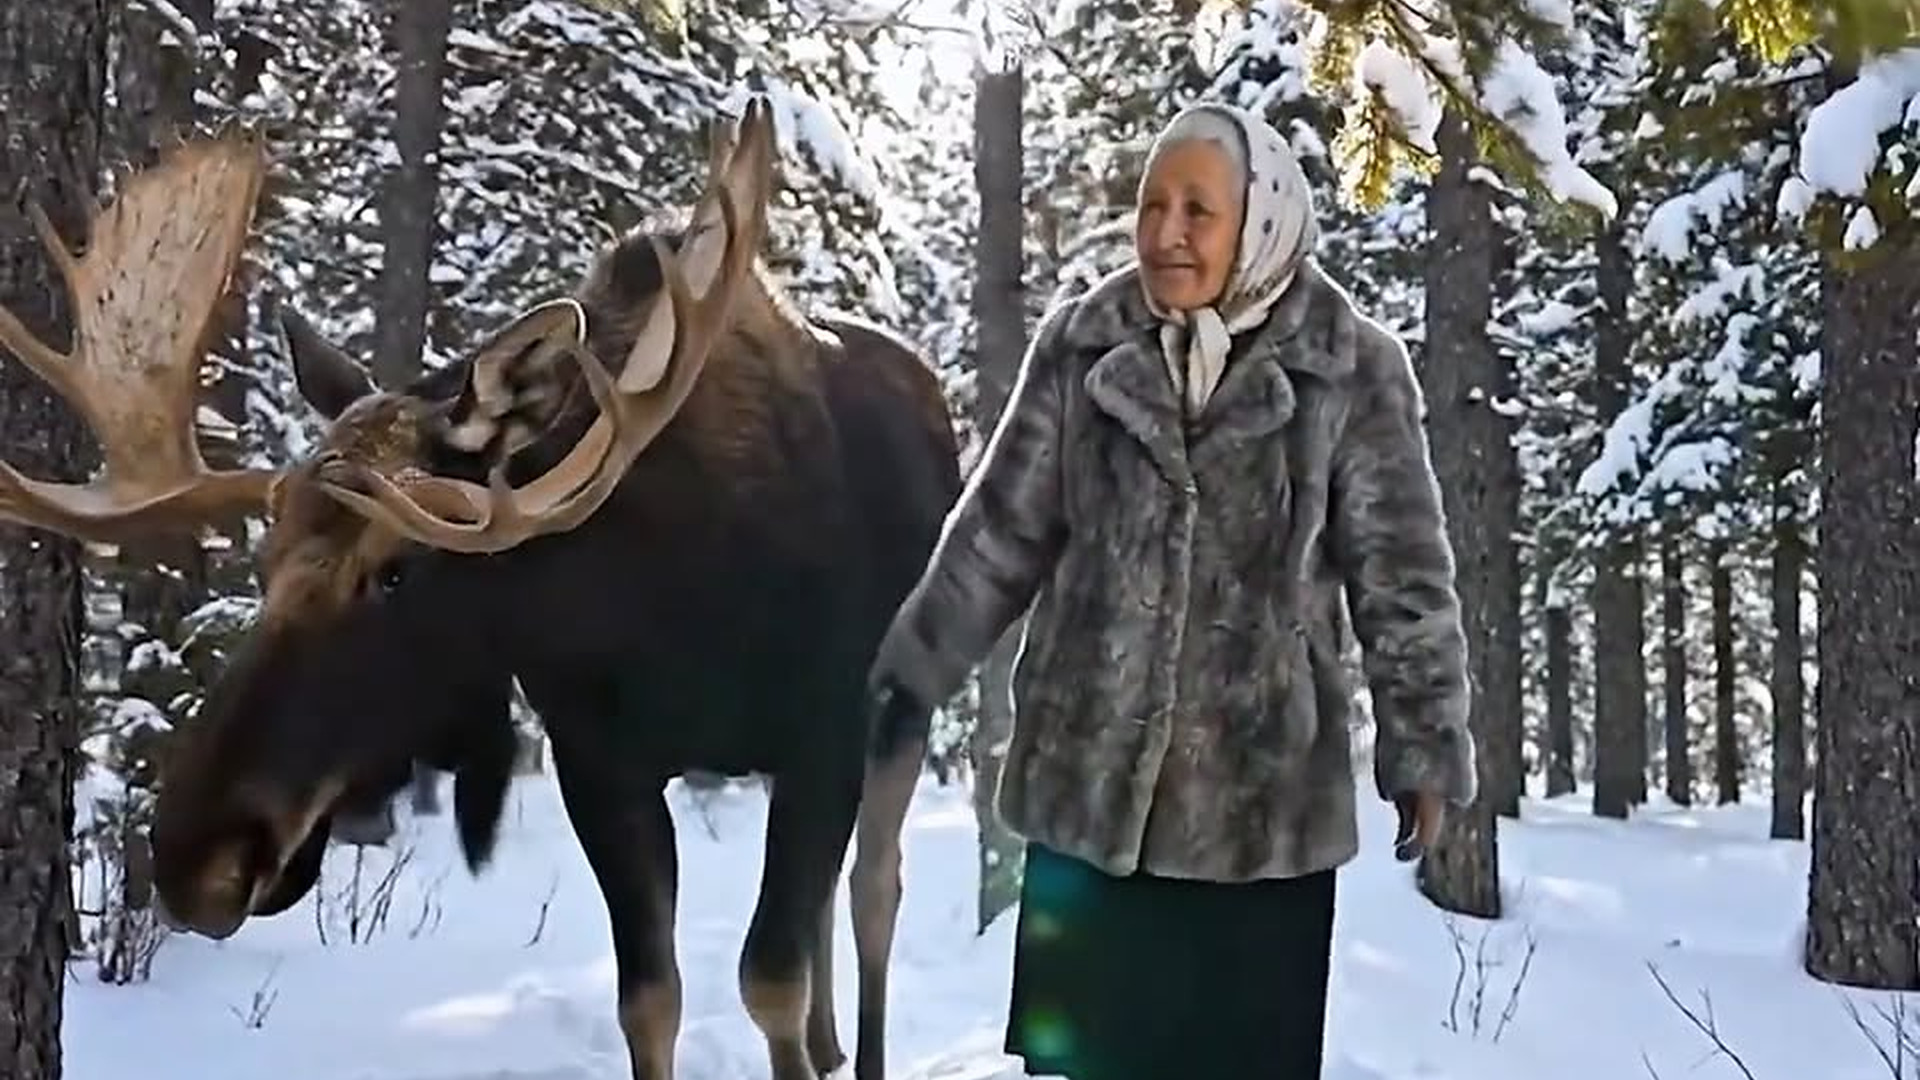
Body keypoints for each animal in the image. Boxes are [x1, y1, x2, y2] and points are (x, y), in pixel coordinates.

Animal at [0, 98, 963, 1080]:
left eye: (395, 570)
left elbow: (770, 979)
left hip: (909, 704)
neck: (668, 618)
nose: (195, 856)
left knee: (873, 885)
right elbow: (650, 1001)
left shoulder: (824, 734)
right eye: (263, 565)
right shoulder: (599, 764)